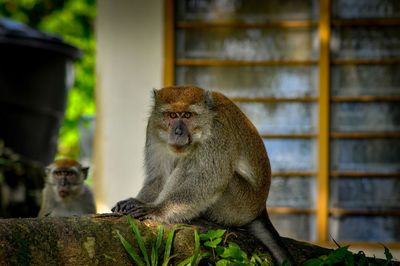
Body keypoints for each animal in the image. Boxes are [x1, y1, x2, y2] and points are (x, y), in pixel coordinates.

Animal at [112, 85, 294, 264]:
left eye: (187, 115)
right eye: (171, 115)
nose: (178, 132)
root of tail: (260, 208)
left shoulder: (218, 133)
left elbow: (210, 180)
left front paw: (156, 208)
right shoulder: (153, 127)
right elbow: (158, 176)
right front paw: (136, 201)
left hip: (239, 206)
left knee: (191, 160)